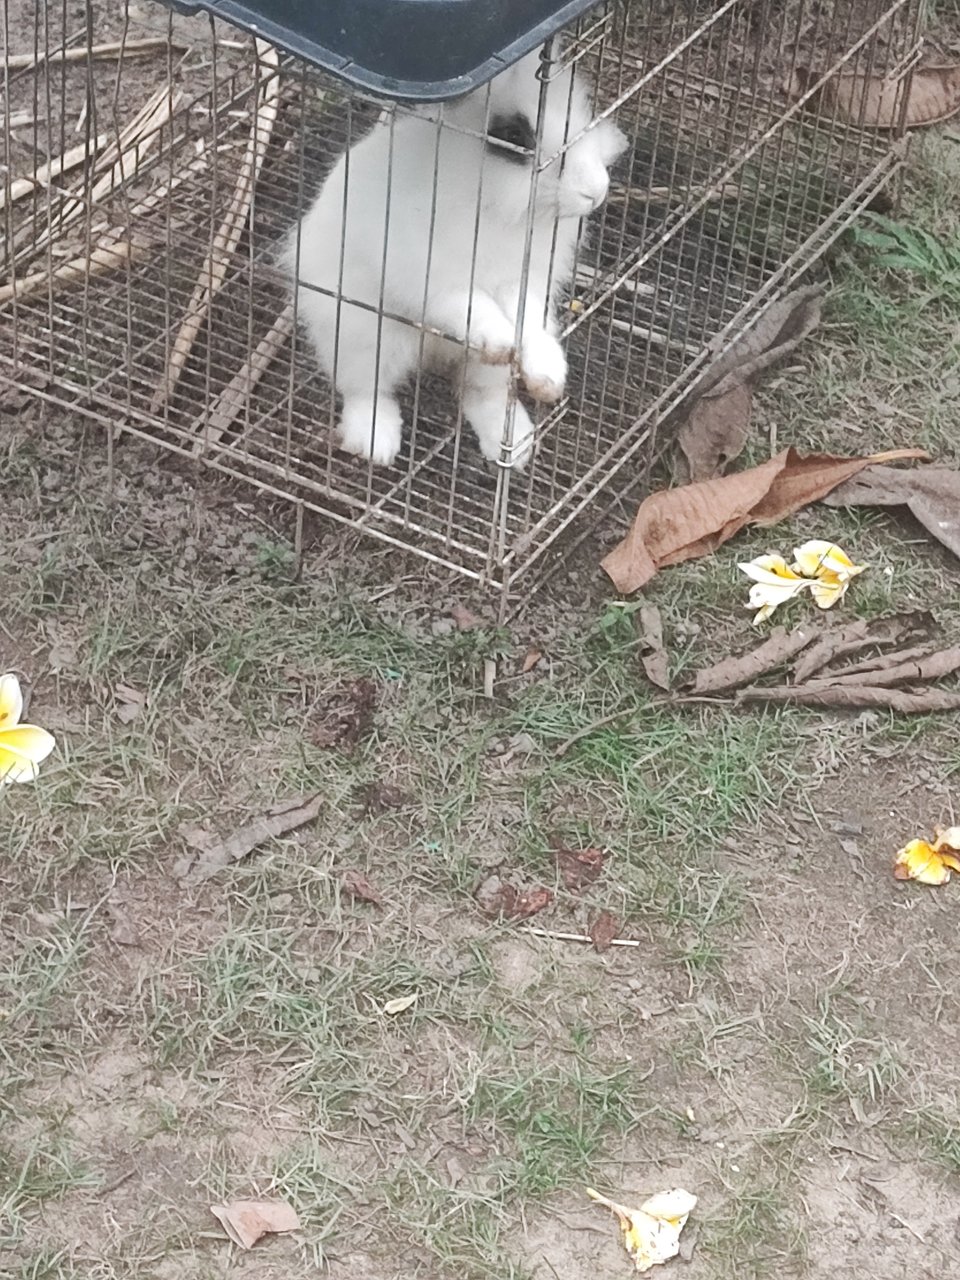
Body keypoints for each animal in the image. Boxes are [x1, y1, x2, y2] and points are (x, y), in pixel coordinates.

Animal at [285, 49, 627, 473]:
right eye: (513, 137)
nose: (596, 191)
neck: (494, 206)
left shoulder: (523, 280)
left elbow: (527, 321)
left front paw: (547, 376)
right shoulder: (431, 277)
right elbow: (470, 307)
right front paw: (499, 341)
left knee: (480, 392)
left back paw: (513, 445)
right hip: (361, 331)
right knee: (366, 388)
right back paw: (376, 443)